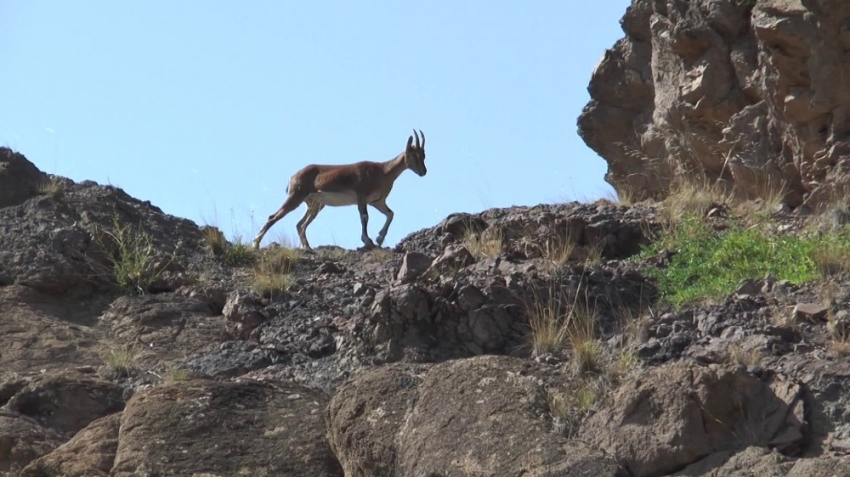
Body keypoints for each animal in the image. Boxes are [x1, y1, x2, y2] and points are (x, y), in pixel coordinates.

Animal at [250, 128, 424, 251]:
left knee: (300, 224)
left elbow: (390, 214)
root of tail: (293, 177)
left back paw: (307, 247)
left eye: (423, 155)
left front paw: (379, 239)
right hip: (296, 198)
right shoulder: (361, 198)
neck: (382, 171)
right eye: (414, 155)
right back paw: (255, 244)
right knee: (273, 217)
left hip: (315, 206)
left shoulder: (377, 202)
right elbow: (365, 217)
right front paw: (368, 241)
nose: (424, 171)